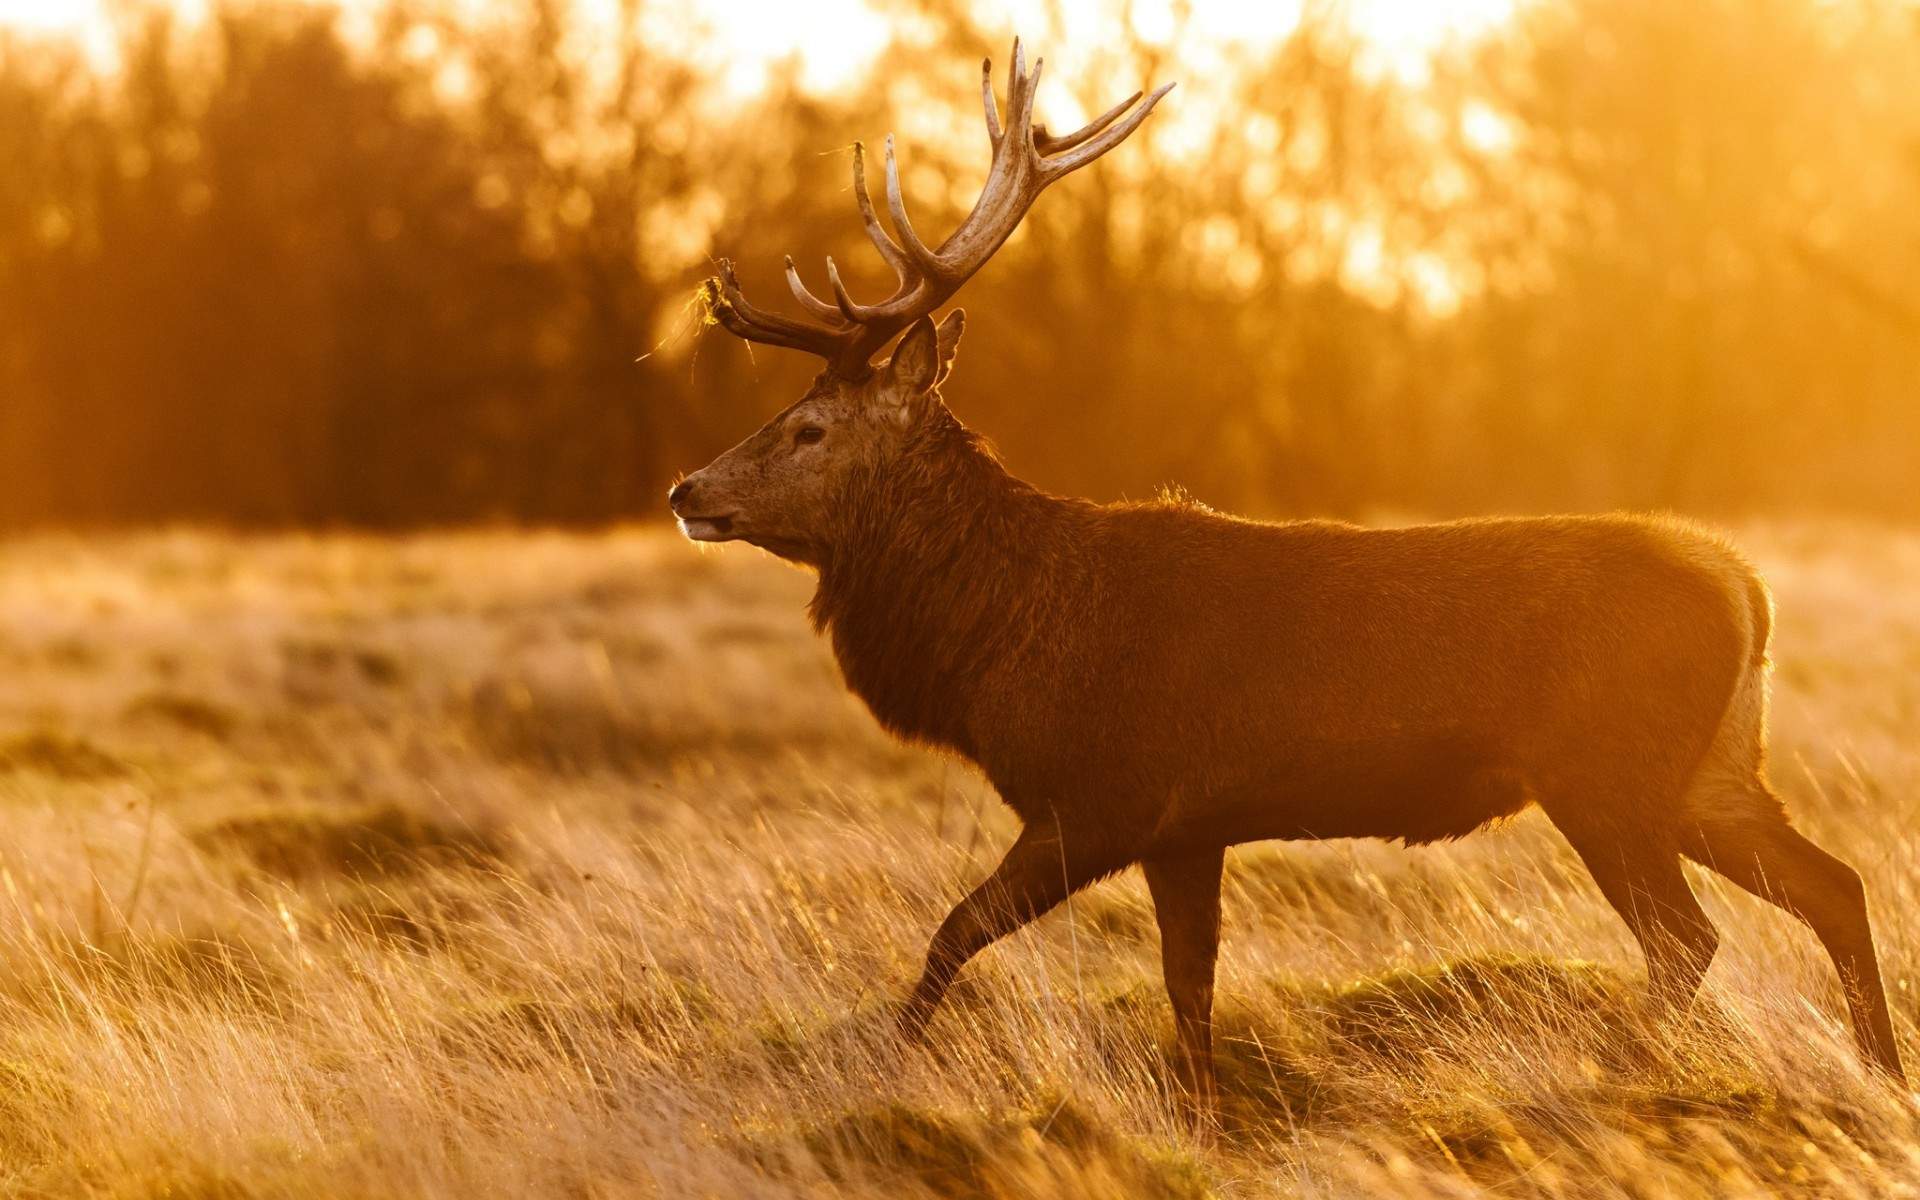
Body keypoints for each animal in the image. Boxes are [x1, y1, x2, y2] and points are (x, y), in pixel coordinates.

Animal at [667, 40, 1906, 1116]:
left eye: (811, 428)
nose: (688, 489)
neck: (1005, 637)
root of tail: (1744, 585)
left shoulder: (1103, 797)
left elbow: (954, 934)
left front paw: (886, 1071)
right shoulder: (1187, 826)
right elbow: (1189, 993)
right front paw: (1202, 1121)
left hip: (1608, 772)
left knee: (1690, 936)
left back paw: (1620, 1068)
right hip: (1711, 769)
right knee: (1833, 884)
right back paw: (1881, 1077)